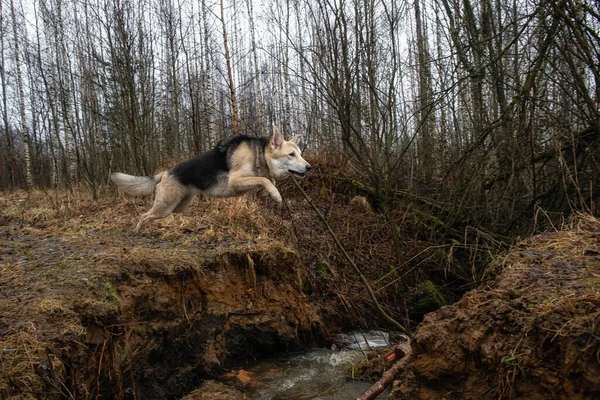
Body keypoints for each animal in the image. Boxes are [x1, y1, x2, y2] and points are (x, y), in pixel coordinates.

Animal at [109, 126, 312, 233]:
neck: (259, 154)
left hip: (177, 206)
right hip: (165, 207)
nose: (309, 167)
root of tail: (165, 172)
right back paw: (136, 231)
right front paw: (276, 195)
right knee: (144, 216)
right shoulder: (235, 180)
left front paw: (268, 193)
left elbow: (267, 180)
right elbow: (265, 179)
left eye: (300, 154)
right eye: (291, 155)